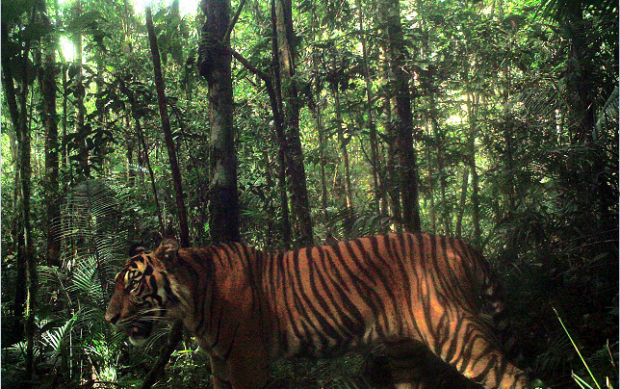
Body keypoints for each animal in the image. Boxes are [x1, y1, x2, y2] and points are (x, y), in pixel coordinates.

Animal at [104, 232, 536, 386]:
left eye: (132, 284)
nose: (109, 318)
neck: (193, 302)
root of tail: (457, 242)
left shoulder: (245, 358)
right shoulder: (221, 362)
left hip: (451, 328)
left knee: (512, 377)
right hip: (405, 349)